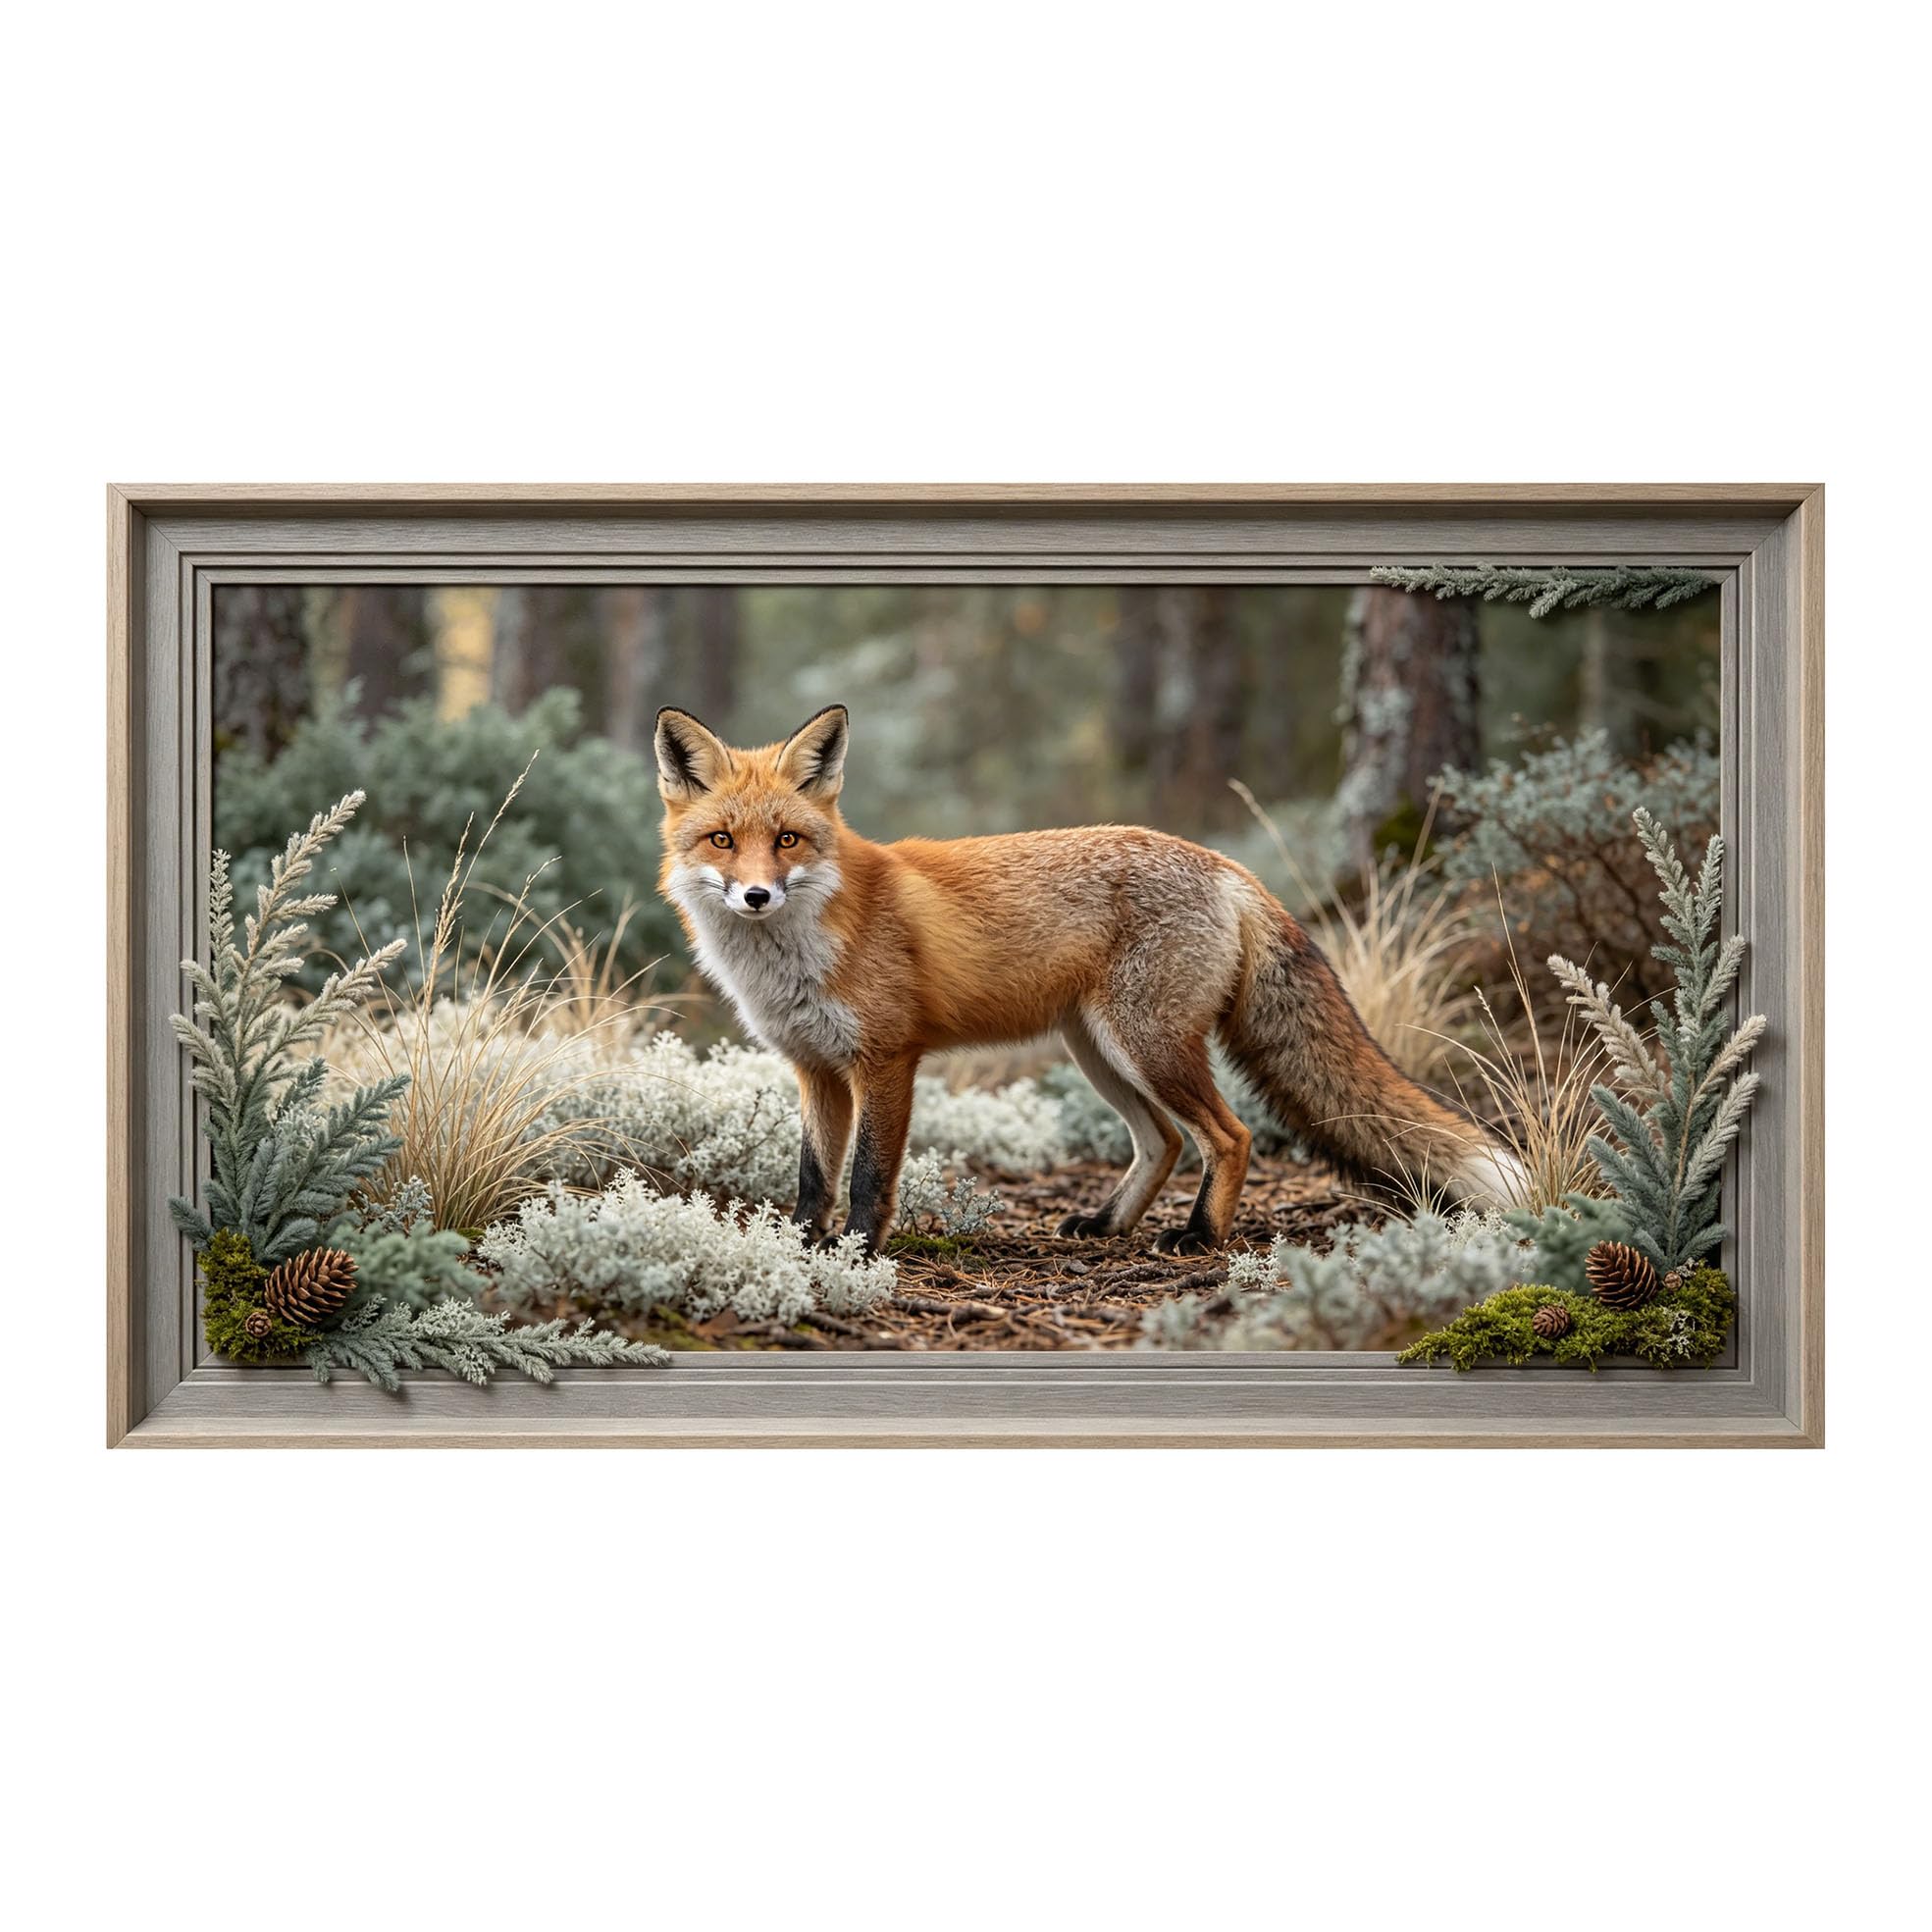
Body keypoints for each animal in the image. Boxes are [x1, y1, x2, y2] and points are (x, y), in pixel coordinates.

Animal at [655, 703, 1523, 1257]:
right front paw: (799, 1248)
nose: (756, 896)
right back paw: (1107, 1225)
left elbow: (868, 1176)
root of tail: (1226, 864)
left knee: (1227, 1135)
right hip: (1097, 1050)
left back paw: (1199, 1236)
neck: (796, 953)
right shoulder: (815, 1067)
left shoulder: (887, 1059)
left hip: (1146, 1045)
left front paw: (858, 1255)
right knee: (1163, 1140)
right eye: (722, 839)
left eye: (789, 839)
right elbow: (812, 1177)